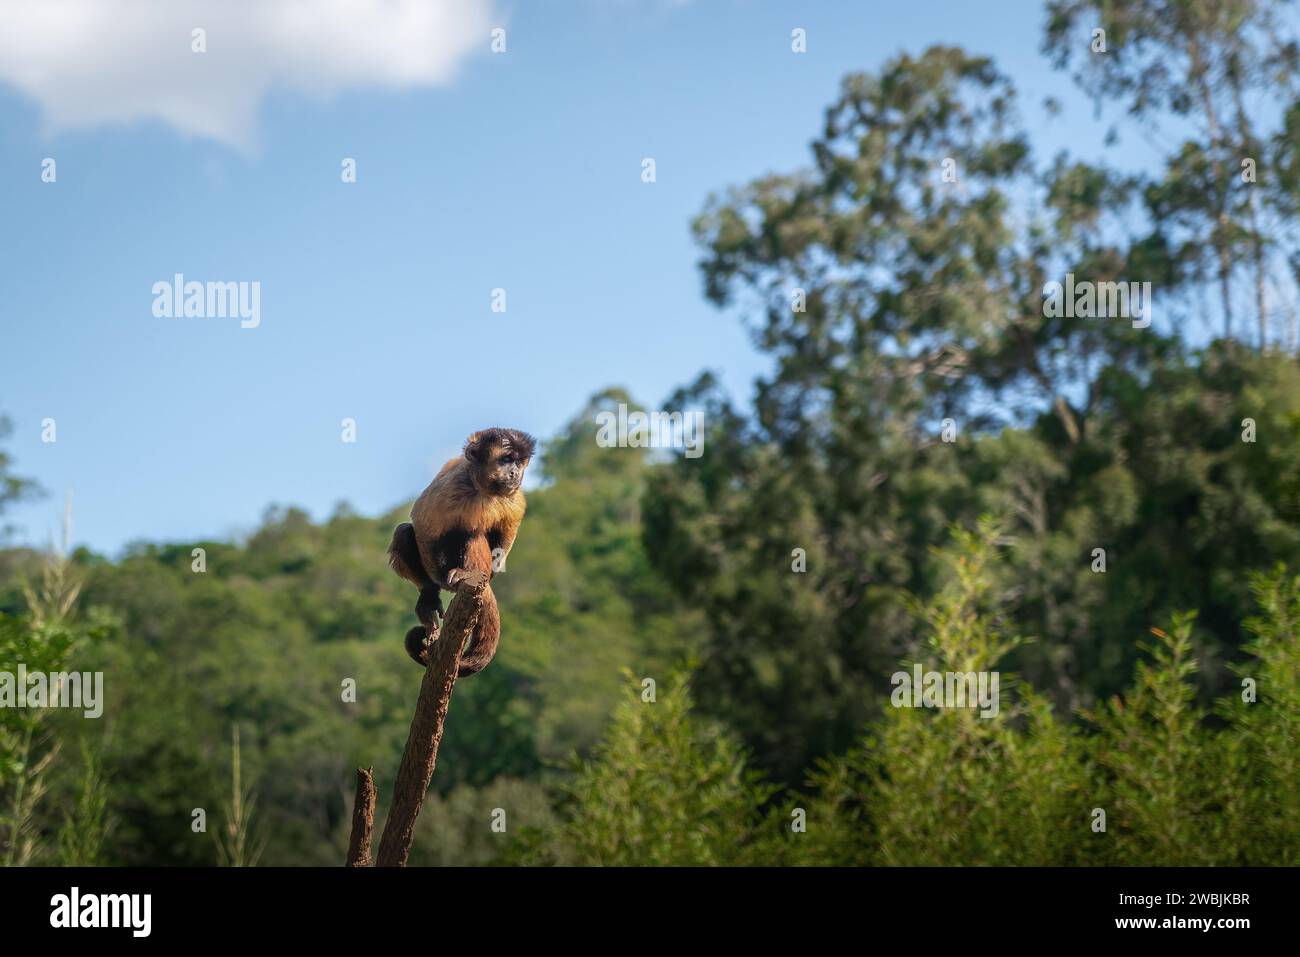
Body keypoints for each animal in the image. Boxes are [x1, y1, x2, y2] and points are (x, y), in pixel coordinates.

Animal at [384, 429, 533, 676]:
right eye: (505, 459)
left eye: (519, 462)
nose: (514, 472)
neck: (483, 490)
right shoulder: (452, 486)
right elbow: (423, 523)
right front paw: (429, 590)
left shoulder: (514, 498)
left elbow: (505, 537)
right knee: (408, 532)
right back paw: (429, 591)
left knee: (473, 535)